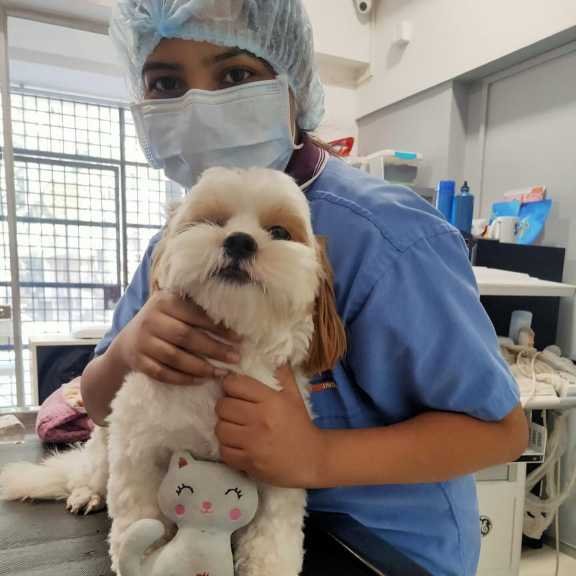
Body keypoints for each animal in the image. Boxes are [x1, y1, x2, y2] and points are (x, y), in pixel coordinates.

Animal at [0, 168, 344, 576]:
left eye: (279, 231)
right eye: (212, 221)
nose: (240, 241)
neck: (224, 361)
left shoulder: (279, 468)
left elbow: (273, 539)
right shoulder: (139, 452)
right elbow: (140, 516)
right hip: (104, 445)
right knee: (85, 473)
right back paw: (86, 493)